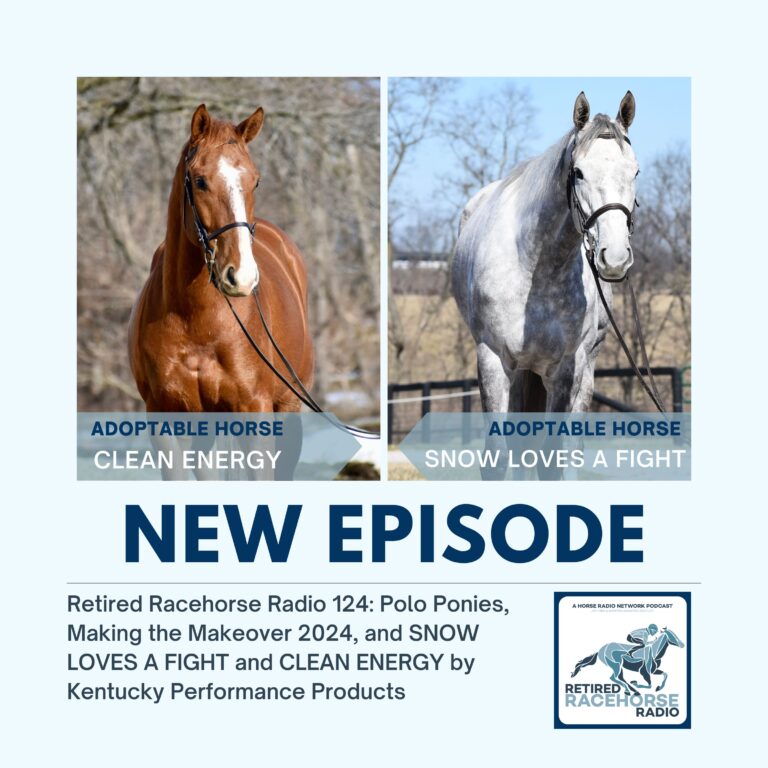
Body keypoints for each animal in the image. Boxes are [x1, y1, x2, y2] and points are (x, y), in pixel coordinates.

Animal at [128, 104, 313, 415]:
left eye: (256, 181)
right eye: (200, 181)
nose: (242, 277)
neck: (197, 319)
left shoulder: (254, 404)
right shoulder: (162, 409)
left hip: (289, 404)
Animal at [452, 91, 639, 414]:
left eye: (635, 171)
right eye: (578, 173)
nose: (615, 257)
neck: (535, 268)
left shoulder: (566, 370)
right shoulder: (493, 362)